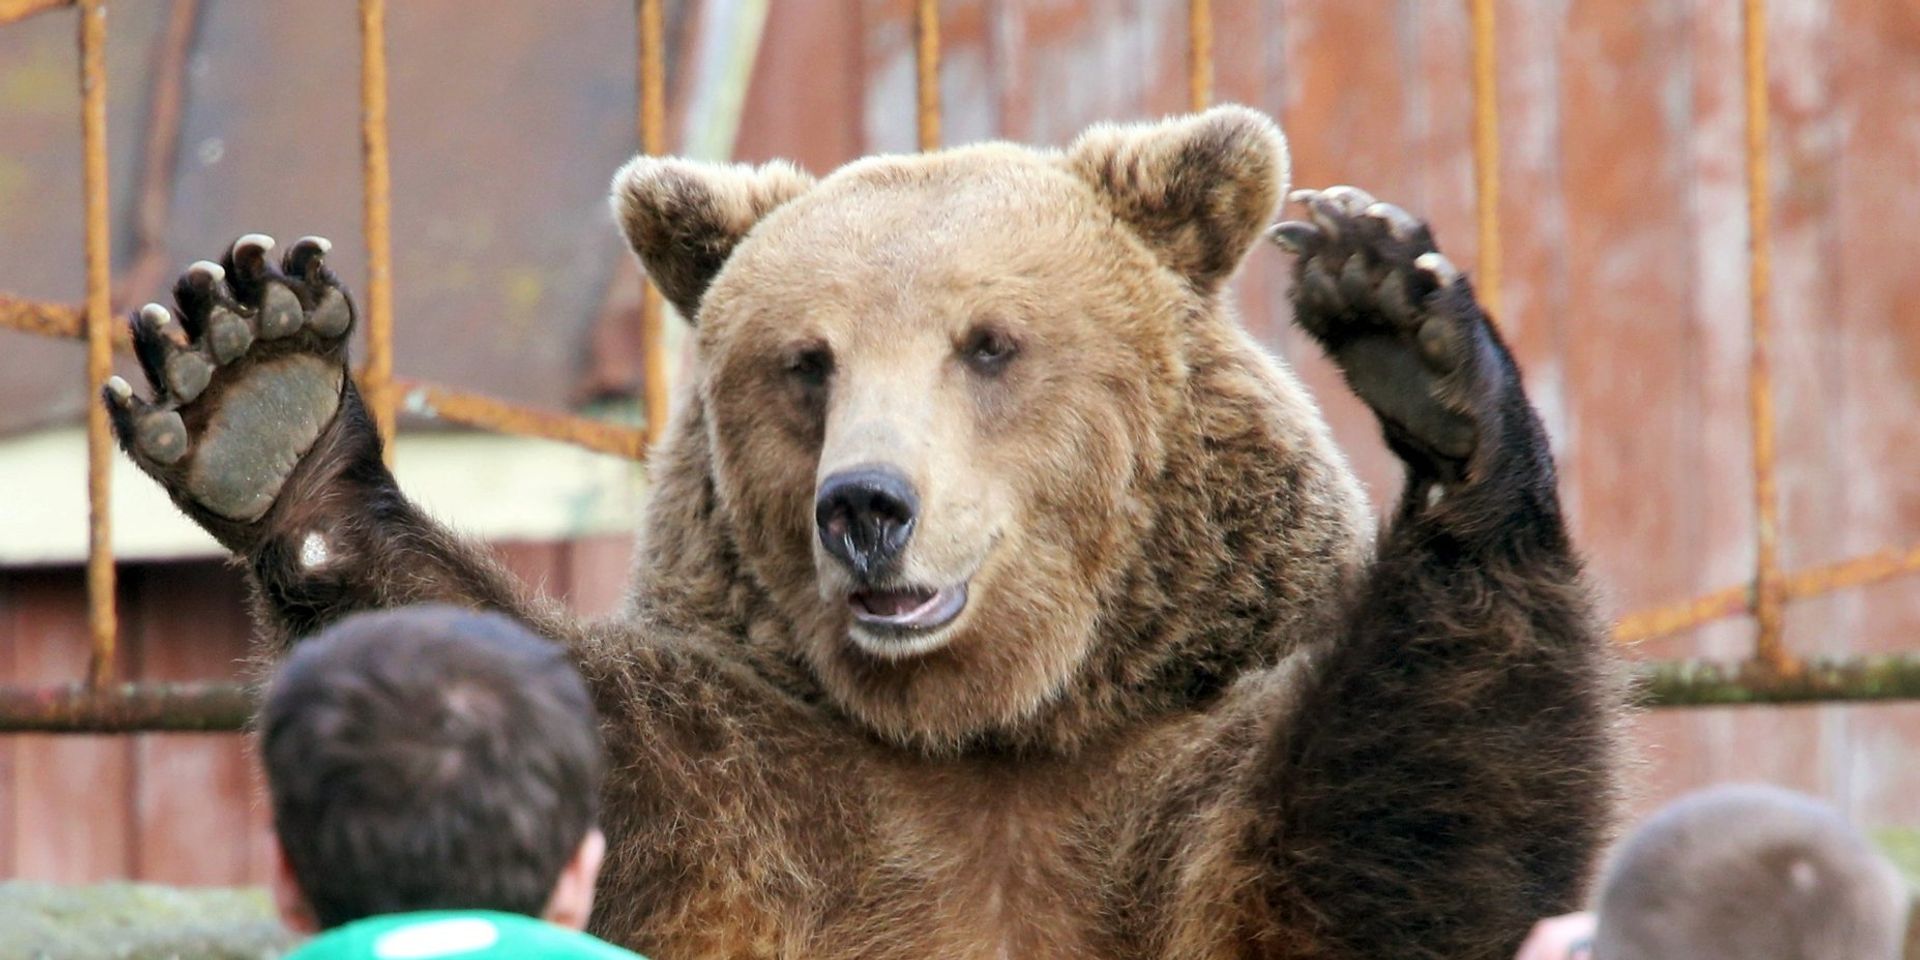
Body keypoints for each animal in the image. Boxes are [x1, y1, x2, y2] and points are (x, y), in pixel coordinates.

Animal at [103, 105, 1618, 959]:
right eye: (807, 361)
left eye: (989, 343)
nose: (867, 507)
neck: (988, 729)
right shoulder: (759, 791)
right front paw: (256, 386)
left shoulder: (1168, 774)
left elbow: (1392, 832)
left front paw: (1421, 355)